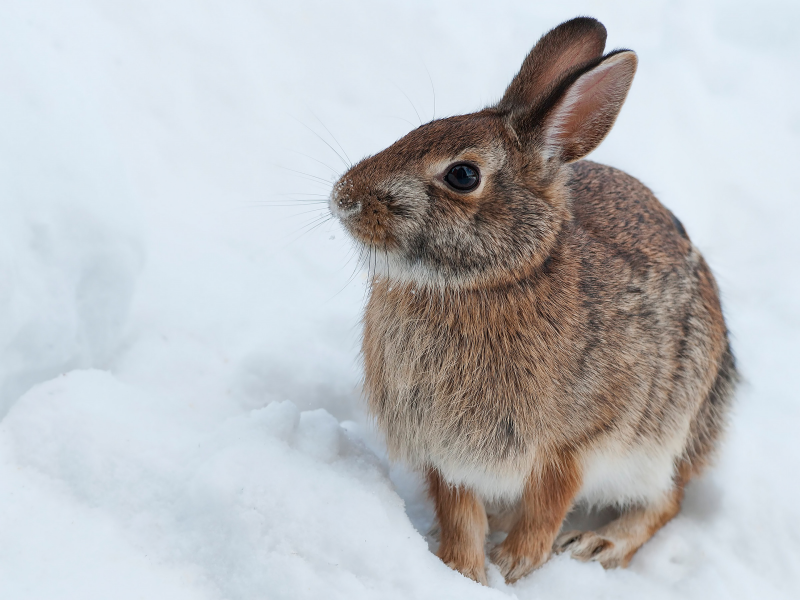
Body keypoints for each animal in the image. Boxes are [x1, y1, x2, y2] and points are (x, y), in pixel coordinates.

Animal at [326, 15, 736, 584]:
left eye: (462, 175)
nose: (344, 197)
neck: (490, 282)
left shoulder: (576, 441)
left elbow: (550, 500)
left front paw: (516, 564)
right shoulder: (445, 453)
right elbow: (458, 511)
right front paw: (463, 569)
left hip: (665, 435)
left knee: (666, 500)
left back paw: (599, 544)